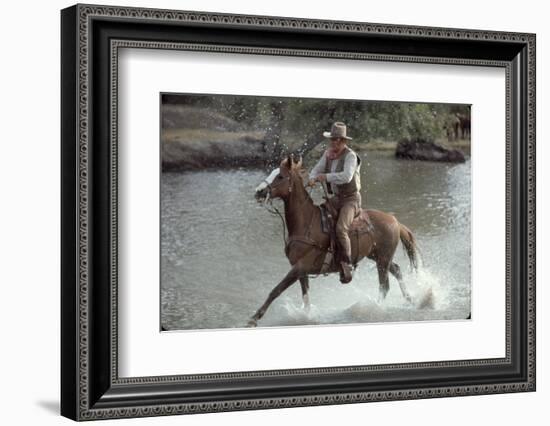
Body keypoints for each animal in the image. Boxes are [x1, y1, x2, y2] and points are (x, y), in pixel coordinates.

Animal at [249, 156, 418, 326]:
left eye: (280, 176)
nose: (258, 191)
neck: (306, 222)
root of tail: (394, 220)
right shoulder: (301, 270)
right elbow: (305, 297)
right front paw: (306, 316)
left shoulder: (299, 267)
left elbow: (276, 290)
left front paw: (254, 318)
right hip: (377, 256)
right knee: (396, 270)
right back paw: (409, 299)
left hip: (382, 259)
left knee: (384, 286)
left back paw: (376, 308)